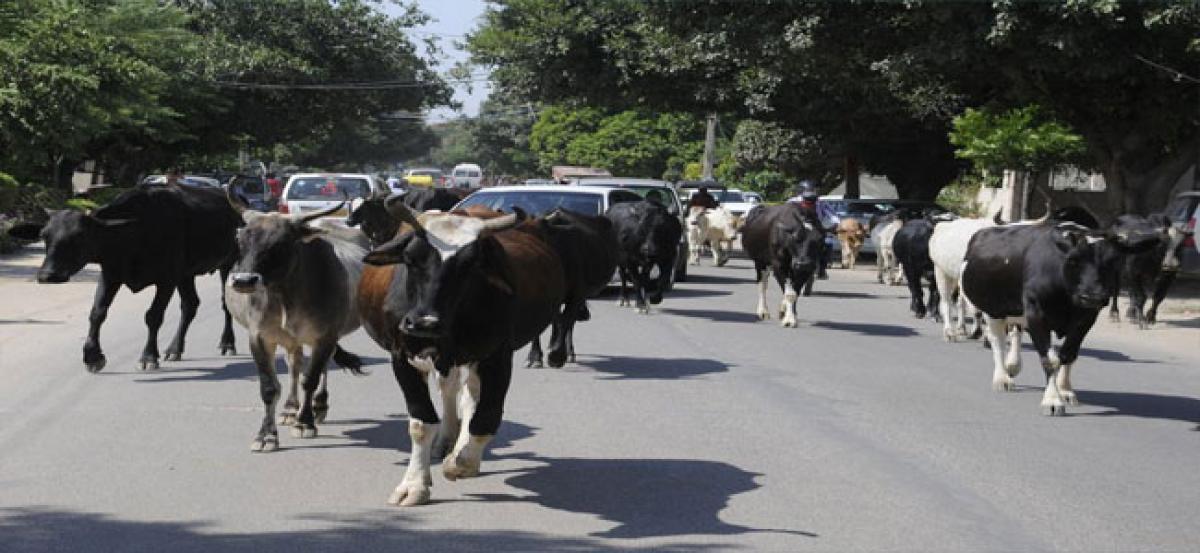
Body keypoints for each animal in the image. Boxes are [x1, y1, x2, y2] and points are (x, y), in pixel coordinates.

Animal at [7, 184, 241, 371]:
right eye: (44, 236)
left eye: (80, 236)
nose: (48, 275)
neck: (136, 232)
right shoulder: (111, 275)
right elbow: (97, 313)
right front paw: (92, 357)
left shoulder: (166, 279)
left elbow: (153, 316)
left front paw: (148, 357)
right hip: (187, 275)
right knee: (190, 305)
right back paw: (175, 349)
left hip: (228, 264)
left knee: (225, 303)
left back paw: (227, 344)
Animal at [357, 196, 564, 503]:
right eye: (411, 259)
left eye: (470, 266)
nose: (425, 322)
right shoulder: (402, 357)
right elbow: (421, 423)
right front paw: (414, 484)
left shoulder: (497, 356)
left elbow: (486, 417)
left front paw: (462, 462)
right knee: (450, 390)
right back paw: (446, 440)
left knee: (469, 398)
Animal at [525, 208, 619, 369]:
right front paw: (535, 356)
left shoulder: (576, 295)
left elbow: (566, 321)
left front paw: (557, 356)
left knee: (568, 321)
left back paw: (567, 351)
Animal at [926, 211, 1003, 340]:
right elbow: (977, 310)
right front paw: (977, 332)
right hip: (941, 272)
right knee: (946, 301)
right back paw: (949, 331)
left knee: (960, 302)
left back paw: (961, 328)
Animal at [955, 219, 1161, 412]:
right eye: (1073, 260)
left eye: (1112, 261)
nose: (1093, 296)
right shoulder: (1036, 314)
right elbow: (1050, 359)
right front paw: (1052, 400)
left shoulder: (1086, 318)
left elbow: (1068, 355)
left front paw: (1065, 390)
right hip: (993, 310)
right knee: (997, 342)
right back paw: (1002, 378)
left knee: (1016, 332)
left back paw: (1013, 366)